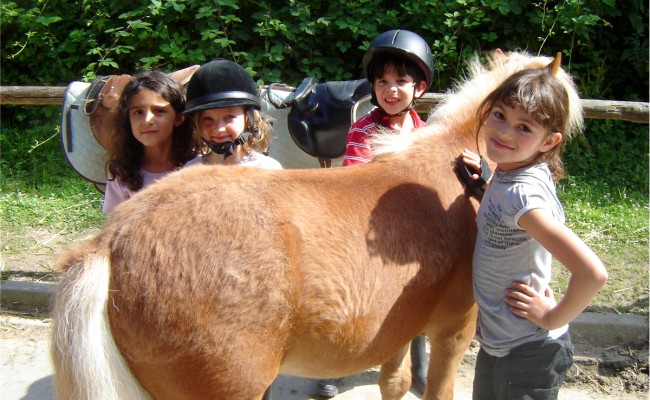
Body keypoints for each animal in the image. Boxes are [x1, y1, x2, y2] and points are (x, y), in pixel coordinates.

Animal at [49, 50, 576, 400]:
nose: (555, 175)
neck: (457, 172)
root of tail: (110, 242)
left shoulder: (397, 330)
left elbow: (396, 381)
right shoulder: (453, 330)